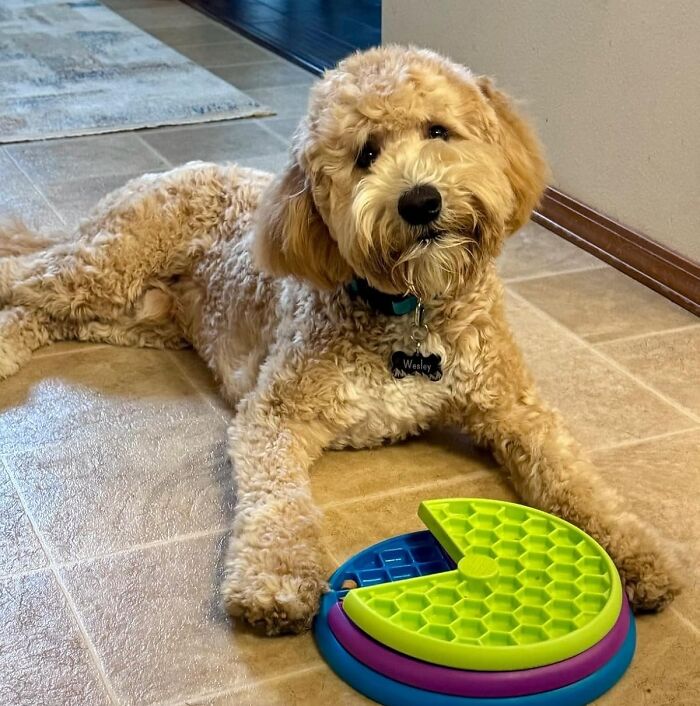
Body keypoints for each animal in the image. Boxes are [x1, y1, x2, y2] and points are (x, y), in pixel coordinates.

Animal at [0, 46, 680, 636]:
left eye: (438, 131)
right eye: (365, 154)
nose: (420, 201)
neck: (412, 308)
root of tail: (169, 171)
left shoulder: (515, 409)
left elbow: (576, 480)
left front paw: (641, 556)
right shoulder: (274, 415)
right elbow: (277, 505)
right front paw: (275, 582)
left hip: (132, 314)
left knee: (40, 312)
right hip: (107, 266)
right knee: (21, 280)